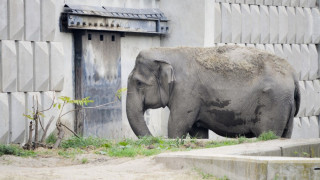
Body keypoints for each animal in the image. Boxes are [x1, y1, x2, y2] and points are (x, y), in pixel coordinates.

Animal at [126, 45, 302, 139]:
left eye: (139, 83)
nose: (154, 139)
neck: (168, 51)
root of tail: (293, 75)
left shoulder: (186, 92)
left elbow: (177, 126)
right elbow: (197, 131)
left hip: (274, 103)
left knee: (267, 133)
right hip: (286, 105)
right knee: (286, 134)